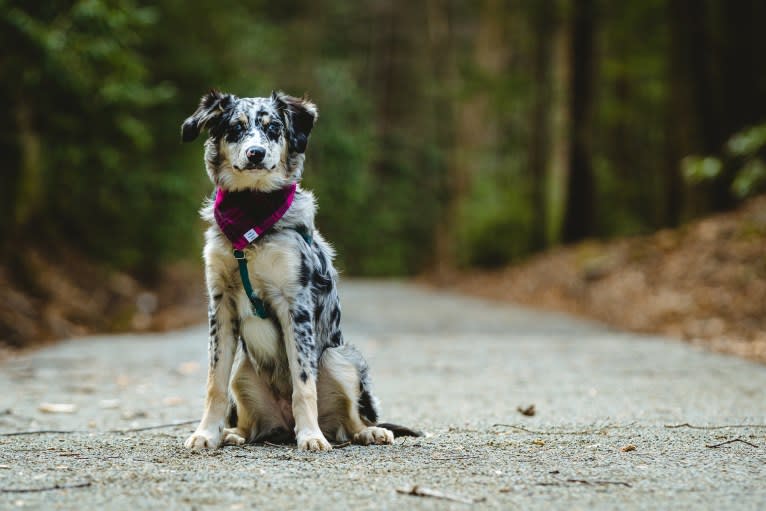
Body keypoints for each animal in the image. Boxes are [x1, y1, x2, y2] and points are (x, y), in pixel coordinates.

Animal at [182, 91, 420, 452]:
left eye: (273, 128)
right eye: (235, 128)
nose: (256, 153)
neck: (252, 223)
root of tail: (282, 425)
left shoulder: (296, 304)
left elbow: (303, 385)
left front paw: (310, 436)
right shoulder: (220, 306)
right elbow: (214, 383)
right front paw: (207, 433)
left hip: (339, 359)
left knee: (351, 421)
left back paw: (368, 432)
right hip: (243, 369)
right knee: (250, 421)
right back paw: (234, 434)